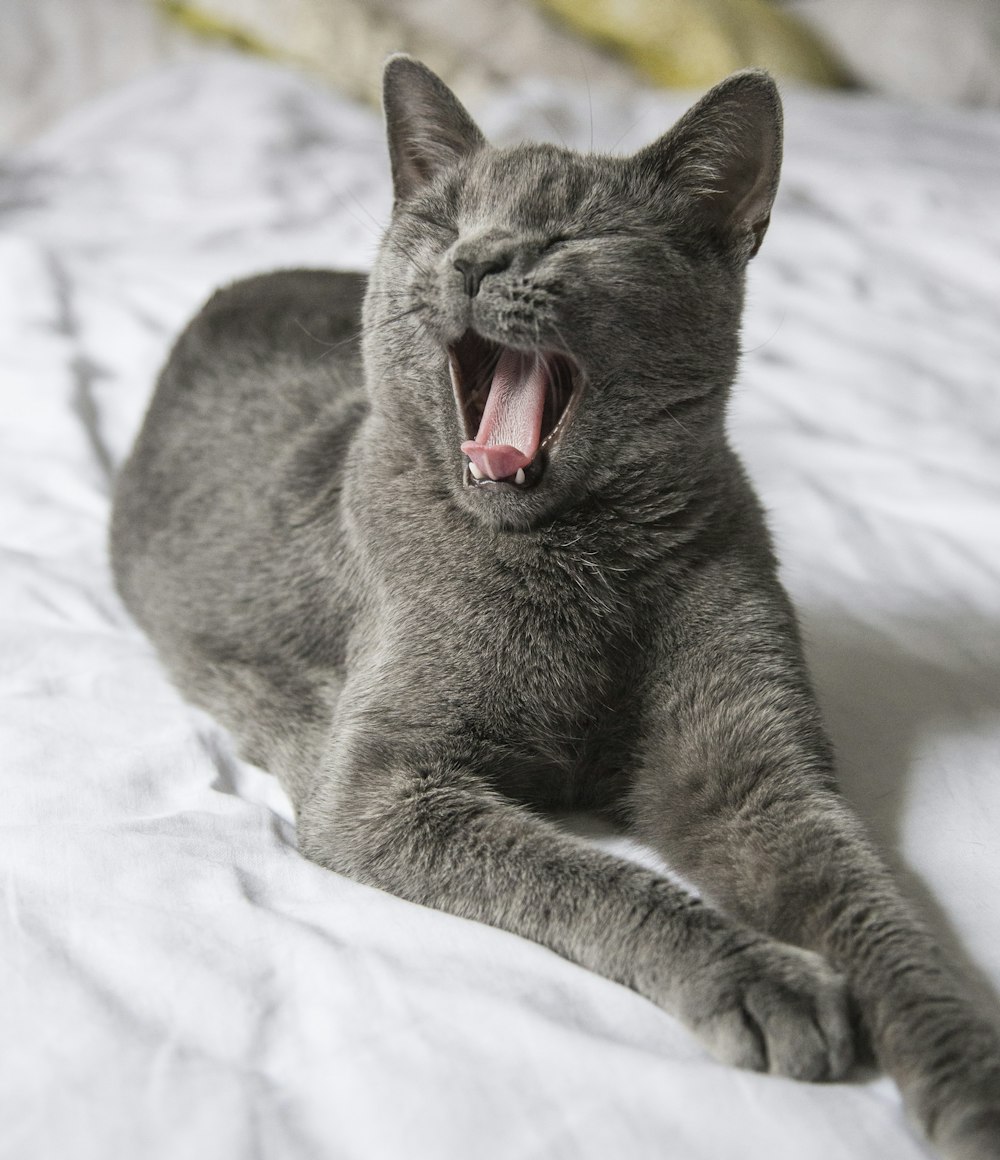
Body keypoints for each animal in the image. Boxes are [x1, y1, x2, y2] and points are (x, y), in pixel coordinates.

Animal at [109, 56, 1000, 1160]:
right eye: (447, 219)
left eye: (573, 234)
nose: (477, 257)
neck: (579, 563)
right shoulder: (382, 781)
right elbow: (588, 873)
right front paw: (764, 978)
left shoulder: (750, 771)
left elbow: (872, 906)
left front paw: (968, 1071)